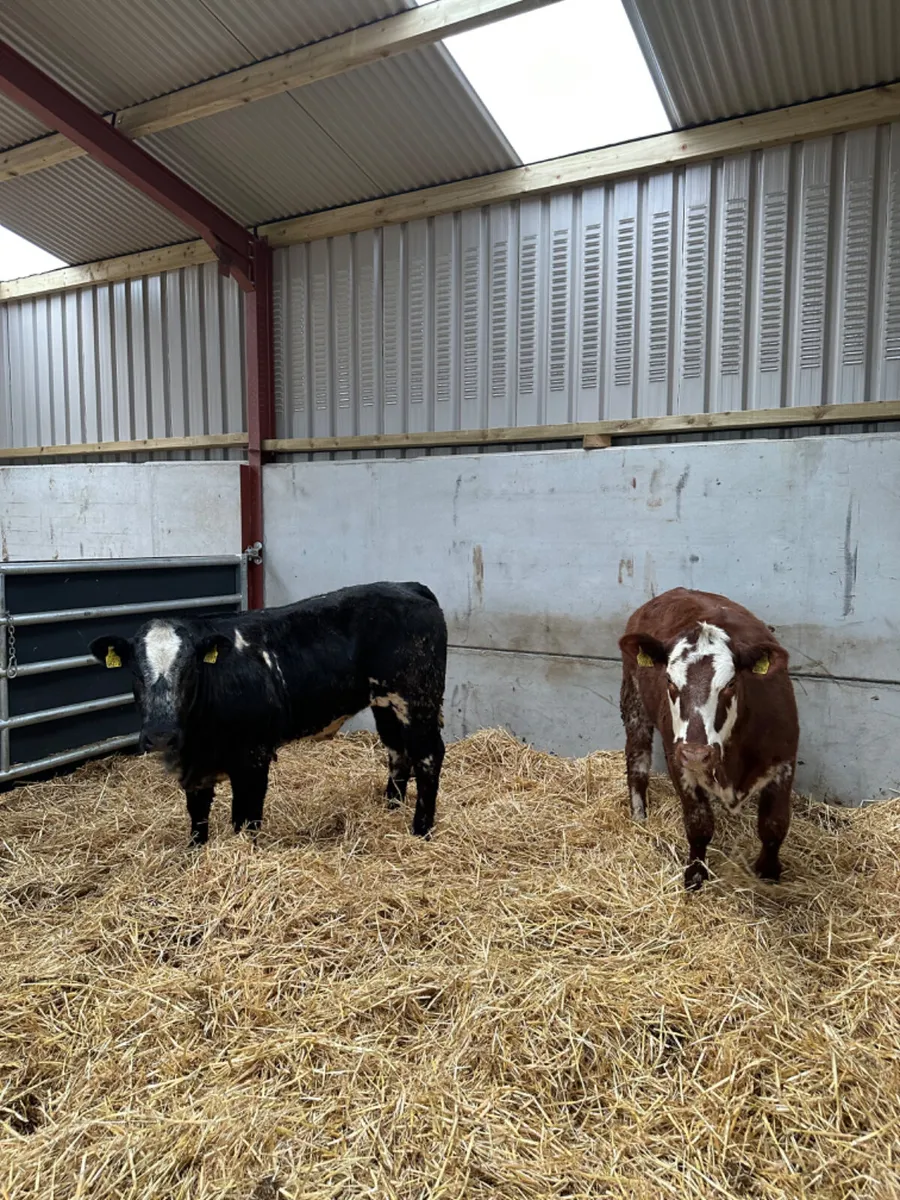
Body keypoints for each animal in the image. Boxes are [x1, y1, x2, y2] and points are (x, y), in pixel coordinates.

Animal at [89, 582, 447, 846]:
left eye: (190, 670)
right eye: (136, 672)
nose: (161, 735)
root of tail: (408, 587)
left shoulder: (254, 755)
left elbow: (247, 816)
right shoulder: (196, 764)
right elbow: (198, 813)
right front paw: (195, 853)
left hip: (417, 700)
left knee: (428, 755)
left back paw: (421, 830)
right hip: (385, 704)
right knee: (397, 752)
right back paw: (390, 807)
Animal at [618, 588, 798, 891]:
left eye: (730, 684)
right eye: (669, 681)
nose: (696, 753)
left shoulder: (784, 759)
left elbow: (774, 824)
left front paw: (768, 871)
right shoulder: (677, 760)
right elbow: (699, 824)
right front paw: (695, 874)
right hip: (633, 700)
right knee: (637, 759)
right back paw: (639, 814)